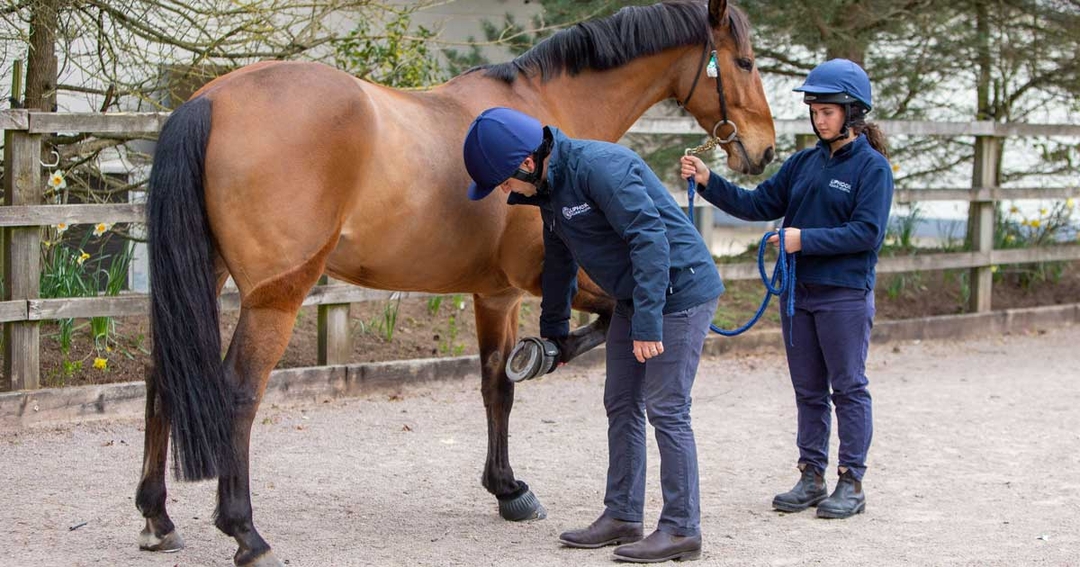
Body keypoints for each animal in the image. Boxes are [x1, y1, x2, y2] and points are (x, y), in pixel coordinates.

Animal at [136, 1, 775, 564]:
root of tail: (212, 99)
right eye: (744, 61)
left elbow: (496, 384)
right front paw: (542, 364)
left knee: (163, 378)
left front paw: (507, 487)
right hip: (276, 297)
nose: (764, 150)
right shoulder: (526, 282)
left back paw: (157, 519)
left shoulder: (494, 293)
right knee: (238, 393)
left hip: (204, 279)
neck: (542, 113)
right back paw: (245, 533)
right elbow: (573, 338)